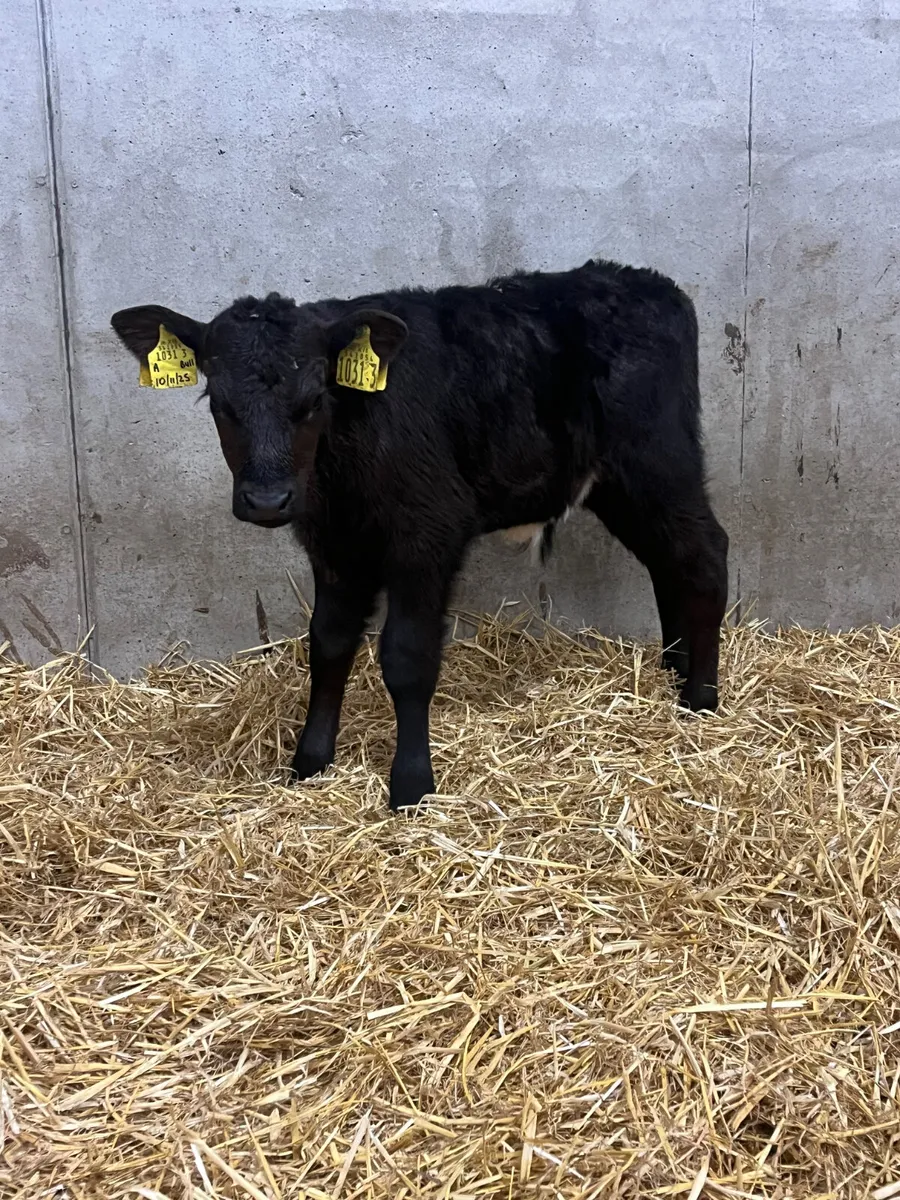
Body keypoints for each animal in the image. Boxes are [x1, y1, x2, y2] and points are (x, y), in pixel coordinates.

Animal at [111, 258, 728, 810]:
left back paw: (700, 698)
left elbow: (407, 656)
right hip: (618, 486)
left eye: (313, 401)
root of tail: (648, 282)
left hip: (657, 460)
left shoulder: (428, 532)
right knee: (668, 562)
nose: (267, 500)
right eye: (219, 404)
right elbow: (328, 642)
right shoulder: (334, 545)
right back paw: (673, 670)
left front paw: (411, 785)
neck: (345, 461)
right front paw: (310, 762)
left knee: (704, 554)